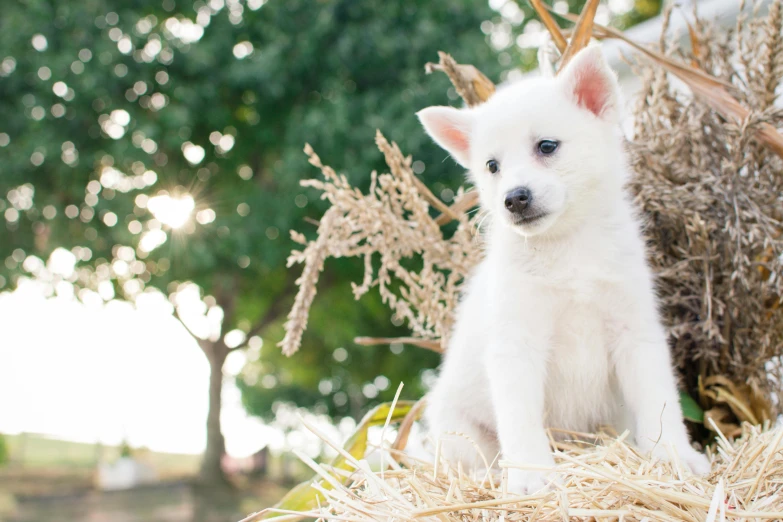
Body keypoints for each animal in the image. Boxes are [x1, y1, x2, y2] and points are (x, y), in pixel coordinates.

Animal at [416, 44, 712, 492]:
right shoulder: (516, 345)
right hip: (456, 425)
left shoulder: (635, 332)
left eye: (547, 146)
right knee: (477, 459)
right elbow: (520, 423)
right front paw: (530, 479)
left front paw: (676, 456)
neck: (568, 248)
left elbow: (660, 403)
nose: (513, 199)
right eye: (491, 166)